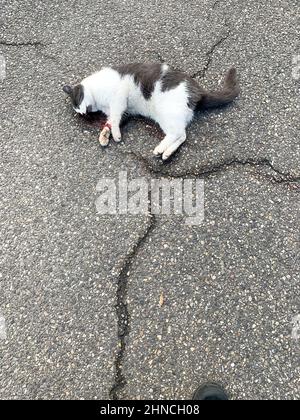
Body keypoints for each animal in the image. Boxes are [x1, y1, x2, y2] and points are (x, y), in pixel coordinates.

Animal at [63, 63, 239, 160]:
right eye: (77, 111)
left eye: (78, 101)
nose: (83, 113)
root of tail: (198, 91)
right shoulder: (124, 111)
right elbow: (112, 120)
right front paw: (105, 134)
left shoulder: (119, 99)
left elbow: (115, 117)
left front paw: (116, 135)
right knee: (181, 135)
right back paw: (166, 153)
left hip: (166, 113)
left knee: (179, 134)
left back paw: (160, 149)